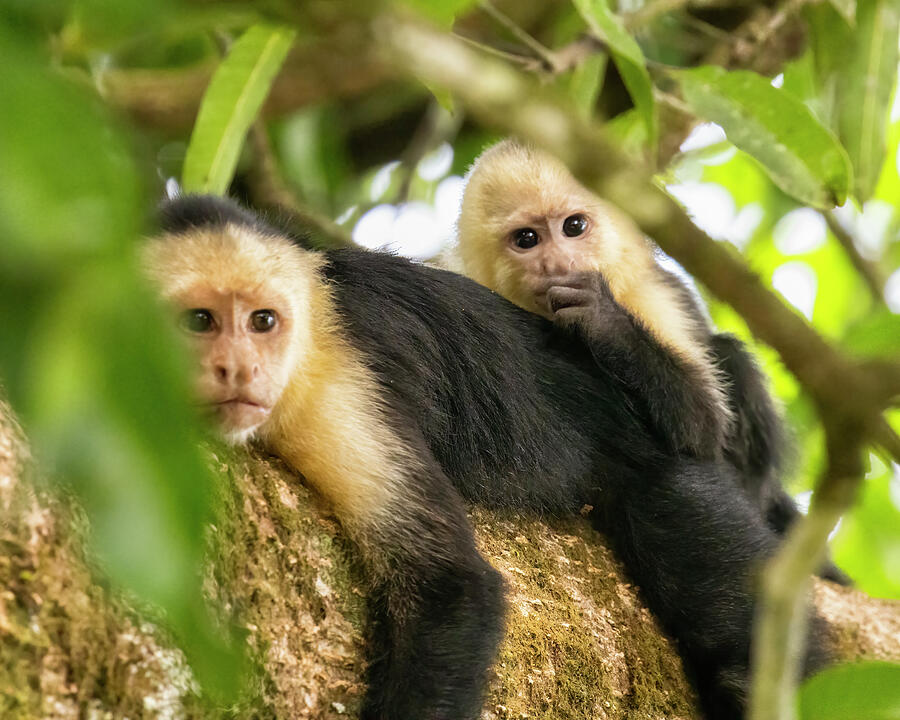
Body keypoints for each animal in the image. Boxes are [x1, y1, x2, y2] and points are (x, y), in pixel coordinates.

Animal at [460, 139, 848, 584]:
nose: (555, 264)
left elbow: (702, 430)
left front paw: (605, 321)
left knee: (730, 360)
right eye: (527, 238)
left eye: (573, 227)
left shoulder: (649, 295)